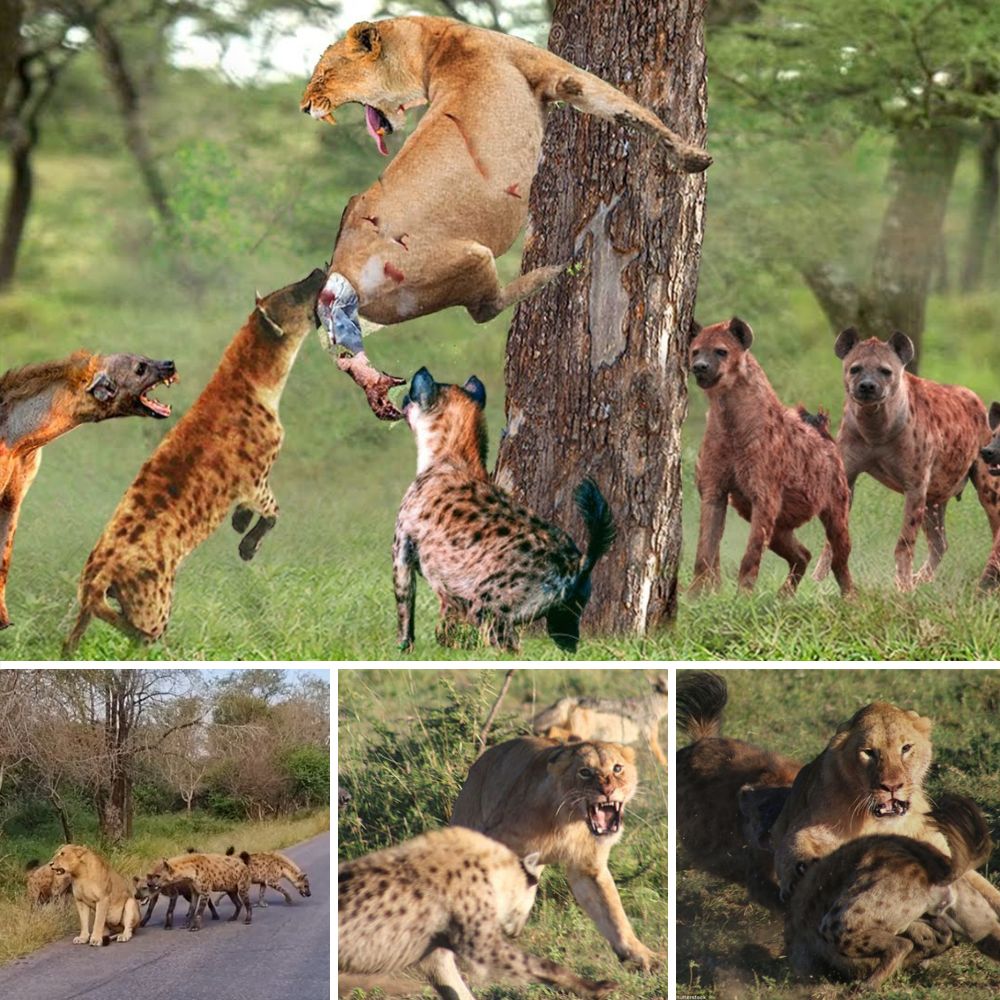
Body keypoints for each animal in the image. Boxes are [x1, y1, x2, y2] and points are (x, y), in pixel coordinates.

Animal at [300, 14, 716, 418]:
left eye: (322, 74)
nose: (305, 107)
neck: (432, 44)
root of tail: (338, 275)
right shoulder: (555, 73)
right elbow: (627, 108)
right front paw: (692, 157)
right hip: (471, 258)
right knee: (486, 309)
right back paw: (553, 270)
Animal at [450, 736, 660, 968]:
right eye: (585, 772)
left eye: (617, 768)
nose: (608, 790)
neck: (571, 821)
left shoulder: (588, 868)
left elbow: (612, 911)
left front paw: (641, 955)